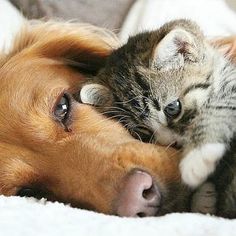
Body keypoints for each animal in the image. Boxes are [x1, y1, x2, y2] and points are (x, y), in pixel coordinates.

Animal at [79, 20, 236, 218]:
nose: (172, 143)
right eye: (144, 131)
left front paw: (198, 155)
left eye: (172, 109)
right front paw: (203, 197)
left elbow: (220, 104)